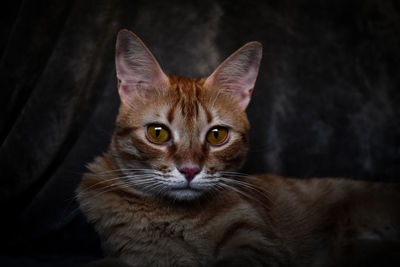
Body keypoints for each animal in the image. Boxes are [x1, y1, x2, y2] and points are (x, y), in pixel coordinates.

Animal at [77, 29, 400, 267]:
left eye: (217, 136)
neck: (172, 218)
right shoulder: (134, 253)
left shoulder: (258, 245)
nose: (190, 170)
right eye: (158, 133)